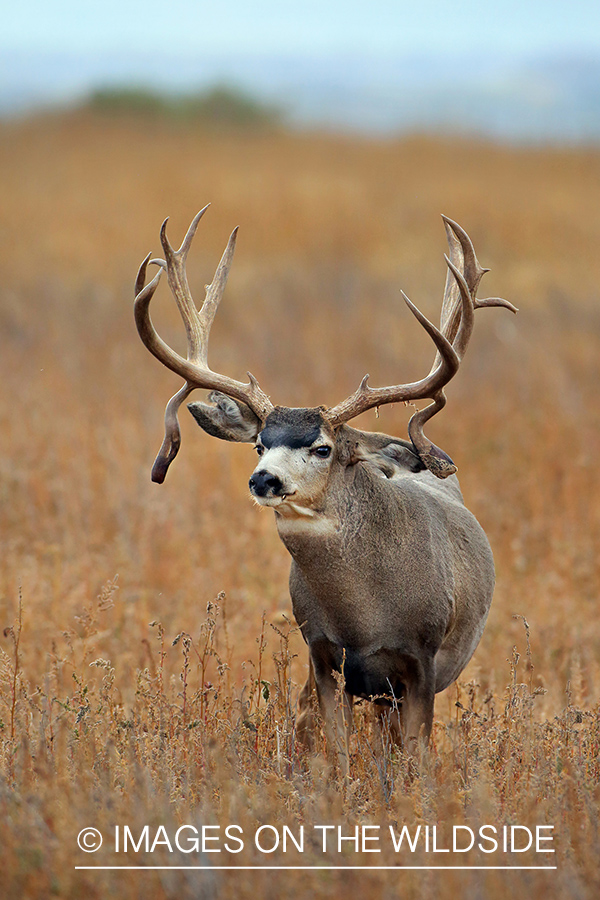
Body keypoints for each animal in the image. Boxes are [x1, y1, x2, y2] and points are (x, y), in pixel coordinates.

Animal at [132, 206, 516, 772]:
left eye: (322, 448)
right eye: (258, 444)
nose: (264, 479)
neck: (366, 615)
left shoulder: (423, 659)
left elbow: (415, 757)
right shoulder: (321, 653)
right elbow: (334, 750)